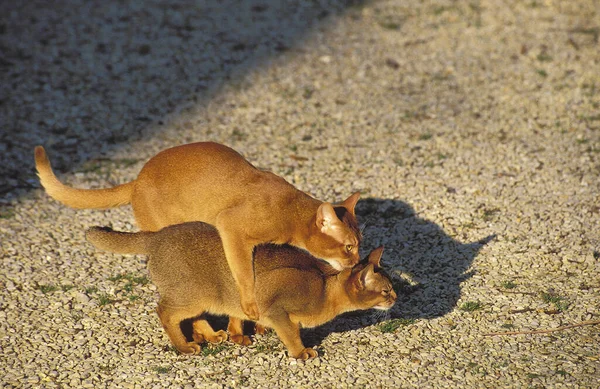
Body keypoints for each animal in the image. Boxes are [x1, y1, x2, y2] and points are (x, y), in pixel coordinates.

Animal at [35, 142, 364, 318]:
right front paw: (249, 306)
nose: (357, 261)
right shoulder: (230, 225)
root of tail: (137, 180)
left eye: (359, 244)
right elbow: (243, 273)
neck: (289, 208)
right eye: (348, 246)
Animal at [83, 221, 394, 358]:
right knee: (164, 312)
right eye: (386, 291)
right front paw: (300, 352)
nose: (396, 298)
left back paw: (213, 335)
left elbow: (247, 317)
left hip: (204, 296)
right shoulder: (276, 304)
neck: (324, 287)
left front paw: (240, 334)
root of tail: (156, 236)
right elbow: (291, 333)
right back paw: (185, 346)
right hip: (192, 295)